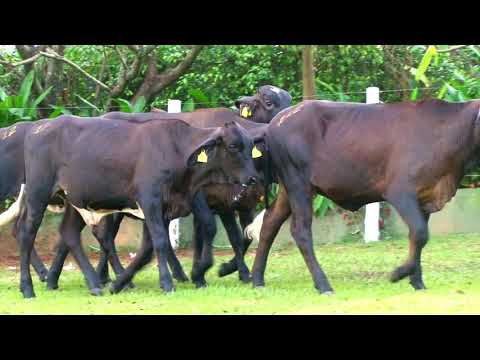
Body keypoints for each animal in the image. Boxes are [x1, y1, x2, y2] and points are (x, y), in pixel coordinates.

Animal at [15, 115, 262, 298]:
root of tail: (38, 127)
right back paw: (28, 288)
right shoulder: (150, 202)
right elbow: (161, 242)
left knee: (69, 233)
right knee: (26, 234)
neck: (176, 151)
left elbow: (147, 250)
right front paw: (168, 283)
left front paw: (118, 284)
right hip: (38, 194)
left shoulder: (165, 210)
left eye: (251, 147)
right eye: (233, 146)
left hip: (75, 201)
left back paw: (93, 283)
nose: (252, 178)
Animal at [246, 97, 480, 292]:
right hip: (298, 185)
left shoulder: (426, 197)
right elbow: (421, 233)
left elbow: (417, 237)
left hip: (288, 190)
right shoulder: (400, 192)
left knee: (269, 223)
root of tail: (277, 121)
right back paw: (323, 285)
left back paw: (258, 280)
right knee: (300, 231)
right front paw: (398, 274)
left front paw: (417, 281)